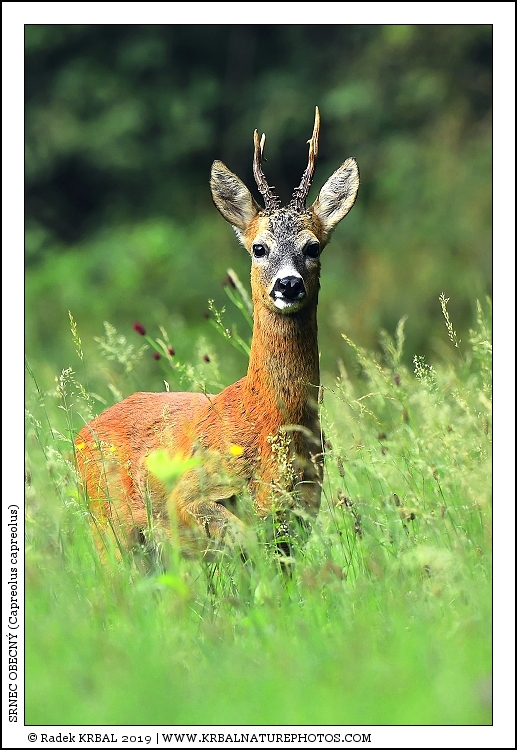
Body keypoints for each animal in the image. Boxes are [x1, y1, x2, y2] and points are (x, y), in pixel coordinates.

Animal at [75, 107, 359, 562]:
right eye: (259, 248)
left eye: (312, 246)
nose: (289, 284)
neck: (268, 422)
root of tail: (79, 437)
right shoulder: (190, 495)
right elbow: (242, 541)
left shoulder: (302, 510)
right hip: (109, 529)